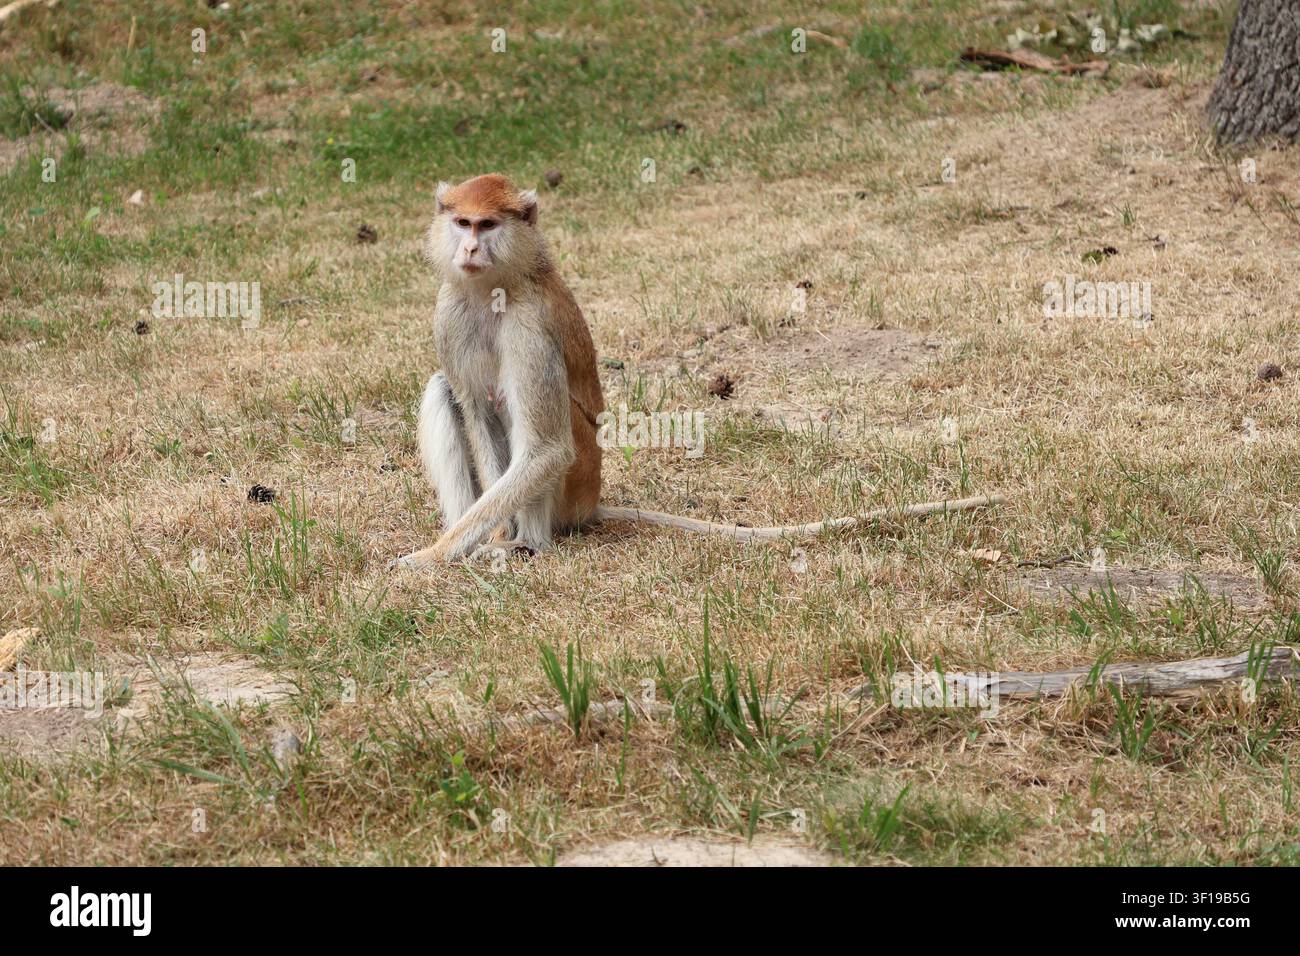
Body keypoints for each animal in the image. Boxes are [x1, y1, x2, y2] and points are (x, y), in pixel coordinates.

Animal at [394, 174, 1002, 568]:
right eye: (461, 221)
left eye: (488, 224)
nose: (470, 248)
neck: (495, 285)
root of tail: (590, 503)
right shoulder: (450, 313)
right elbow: (475, 408)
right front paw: (475, 538)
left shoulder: (529, 329)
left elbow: (545, 448)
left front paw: (434, 554)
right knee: (443, 390)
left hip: (579, 476)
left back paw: (528, 544)